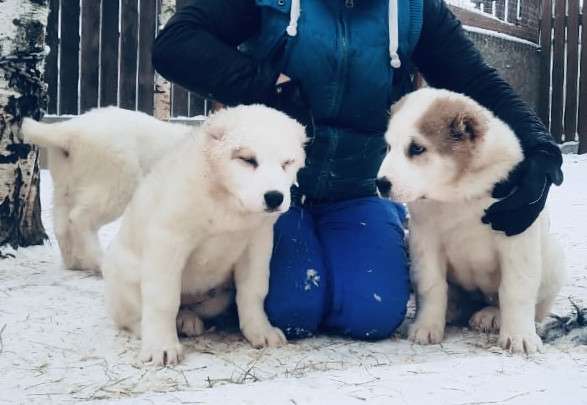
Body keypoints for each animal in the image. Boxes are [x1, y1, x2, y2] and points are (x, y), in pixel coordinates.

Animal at [20, 107, 189, 272]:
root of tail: (70, 132)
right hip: (115, 168)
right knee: (85, 214)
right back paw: (98, 261)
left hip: (64, 173)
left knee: (62, 214)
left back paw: (73, 261)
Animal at [102, 104, 308, 366]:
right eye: (247, 159)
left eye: (287, 162)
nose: (274, 197)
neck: (226, 202)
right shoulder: (168, 239)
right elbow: (163, 300)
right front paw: (161, 346)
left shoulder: (258, 241)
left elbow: (254, 290)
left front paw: (260, 330)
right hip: (124, 275)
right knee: (134, 314)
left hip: (219, 296)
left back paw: (187, 320)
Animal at [378, 89, 568, 354]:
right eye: (389, 146)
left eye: (416, 148)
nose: (381, 183)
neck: (458, 195)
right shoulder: (424, 239)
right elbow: (431, 284)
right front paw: (426, 326)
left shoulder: (517, 239)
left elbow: (516, 289)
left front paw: (519, 336)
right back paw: (452, 308)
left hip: (554, 258)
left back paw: (492, 315)